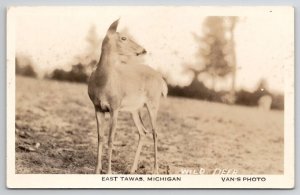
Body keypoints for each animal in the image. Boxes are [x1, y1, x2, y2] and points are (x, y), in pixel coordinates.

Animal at [87, 19, 169, 174]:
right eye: (123, 38)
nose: (143, 50)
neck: (102, 82)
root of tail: (162, 81)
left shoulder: (115, 106)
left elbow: (111, 139)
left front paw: (109, 171)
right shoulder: (97, 107)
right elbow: (100, 137)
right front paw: (96, 170)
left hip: (153, 103)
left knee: (154, 132)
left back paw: (155, 170)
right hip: (134, 109)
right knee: (143, 131)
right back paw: (132, 168)